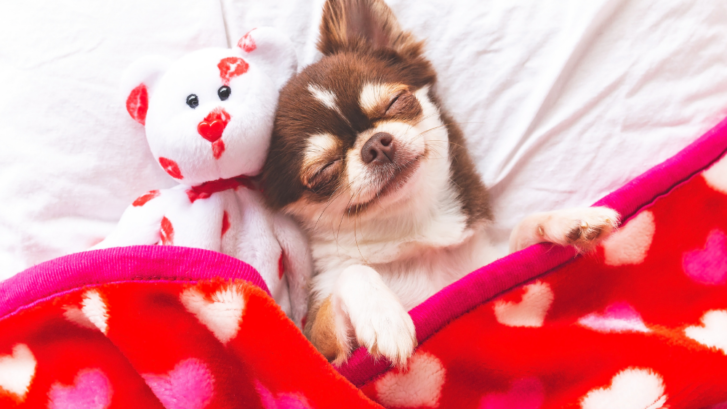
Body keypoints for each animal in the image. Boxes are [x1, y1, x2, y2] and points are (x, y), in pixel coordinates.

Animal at [264, 0, 620, 366]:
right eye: (324, 169)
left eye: (396, 102)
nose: (375, 144)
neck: (416, 231)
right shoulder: (325, 351)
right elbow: (353, 273)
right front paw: (384, 316)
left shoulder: (486, 269)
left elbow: (520, 237)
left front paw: (569, 219)